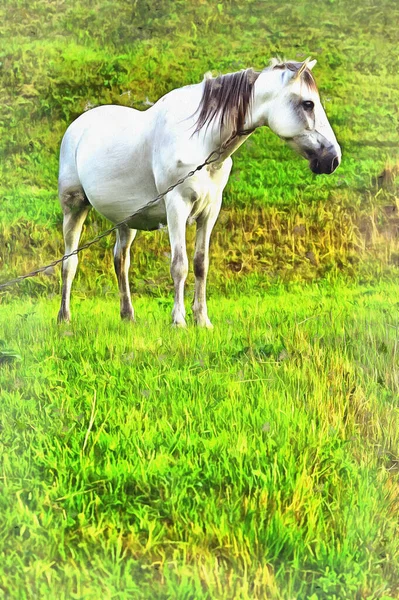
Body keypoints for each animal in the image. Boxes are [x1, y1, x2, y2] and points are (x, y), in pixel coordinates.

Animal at [57, 56, 342, 328]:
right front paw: (179, 321)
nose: (333, 159)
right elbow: (179, 265)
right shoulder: (176, 207)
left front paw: (202, 320)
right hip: (74, 208)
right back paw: (64, 317)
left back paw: (128, 316)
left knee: (121, 262)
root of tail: (77, 126)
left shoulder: (209, 211)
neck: (200, 143)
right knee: (69, 263)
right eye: (308, 104)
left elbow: (200, 265)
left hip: (126, 220)